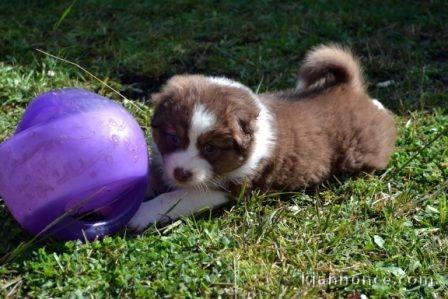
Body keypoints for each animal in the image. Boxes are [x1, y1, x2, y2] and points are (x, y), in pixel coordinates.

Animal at [128, 45, 398, 232]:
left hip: (361, 153)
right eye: (174, 138)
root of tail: (347, 88)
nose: (181, 174)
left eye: (211, 148)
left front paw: (140, 214)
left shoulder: (227, 187)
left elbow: (173, 198)